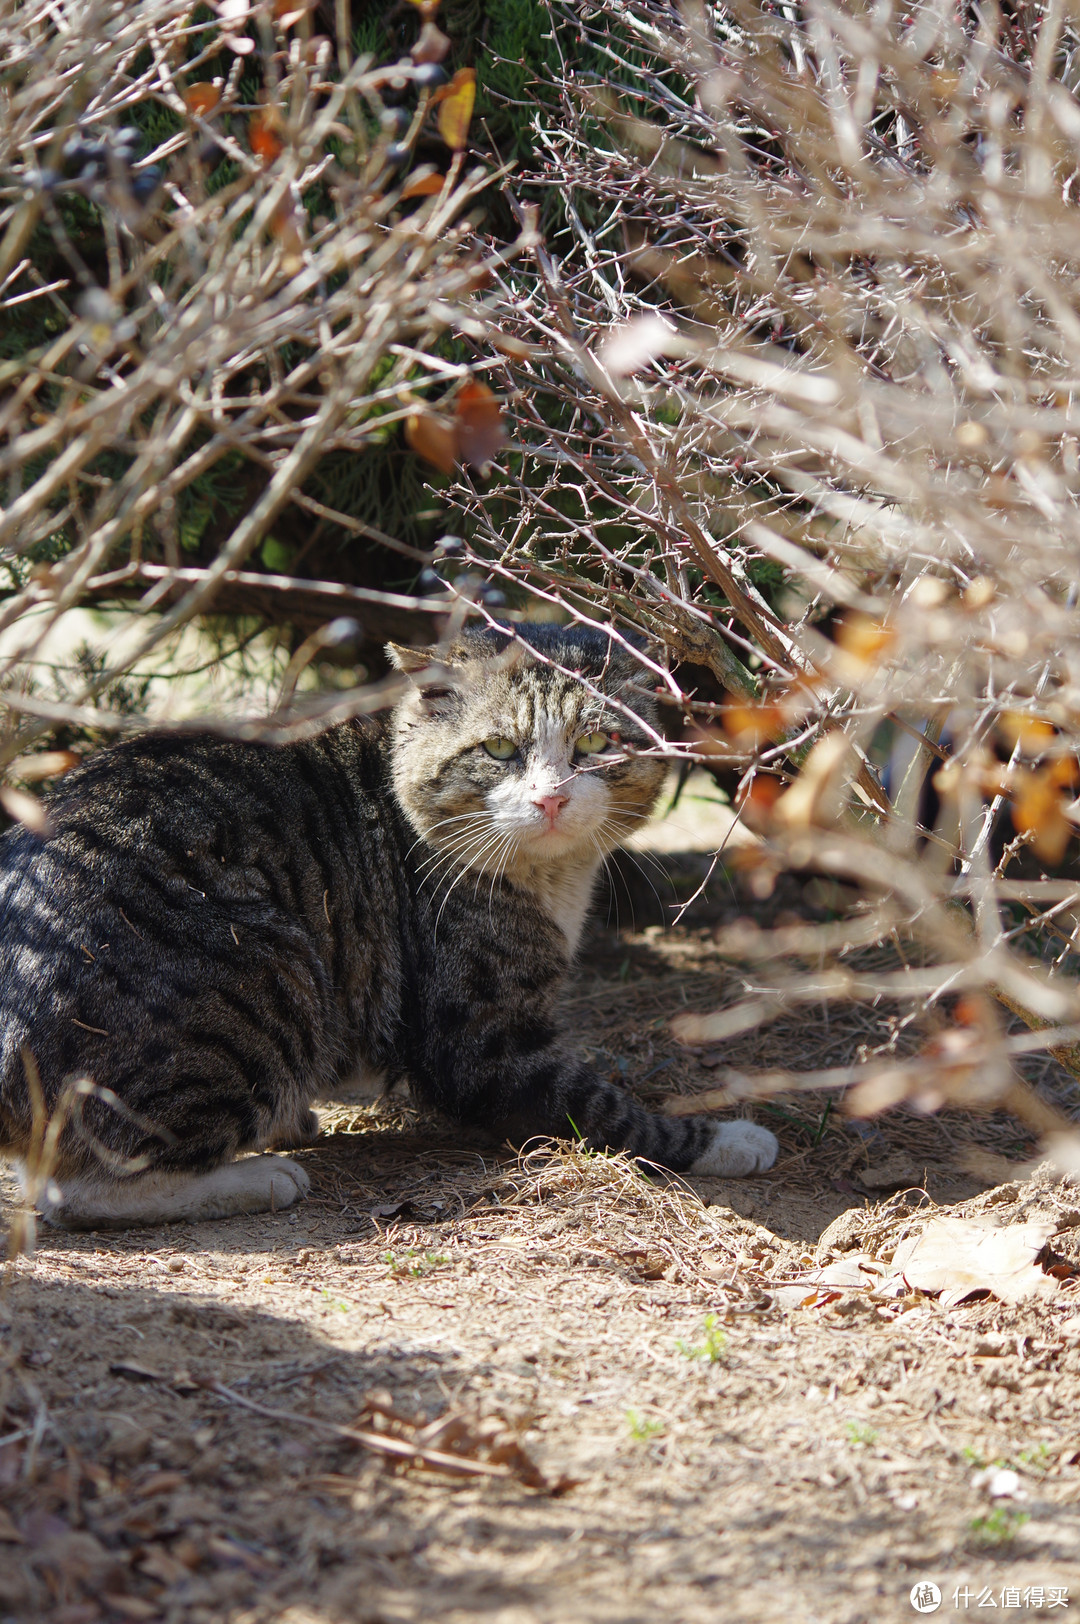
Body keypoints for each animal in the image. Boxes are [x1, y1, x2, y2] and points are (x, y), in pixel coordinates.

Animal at [0, 623, 776, 1227]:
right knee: (77, 1189)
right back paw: (260, 1176)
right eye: (499, 750)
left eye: (596, 743)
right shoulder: (481, 1041)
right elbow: (607, 1110)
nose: (552, 798)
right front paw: (729, 1139)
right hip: (266, 972)